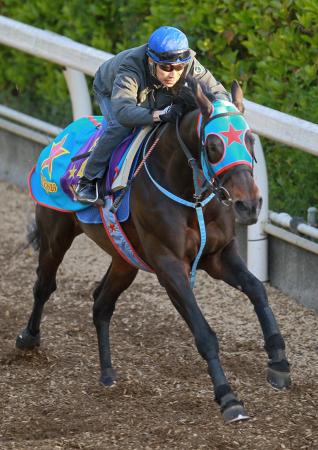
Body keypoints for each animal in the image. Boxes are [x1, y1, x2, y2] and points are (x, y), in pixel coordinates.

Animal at [16, 79, 290, 424]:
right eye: (214, 145)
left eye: (250, 139)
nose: (249, 204)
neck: (189, 193)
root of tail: (60, 137)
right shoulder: (169, 266)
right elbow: (204, 332)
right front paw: (229, 398)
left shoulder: (219, 257)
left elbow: (257, 290)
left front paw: (279, 362)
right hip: (56, 232)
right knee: (44, 285)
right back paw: (28, 338)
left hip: (125, 258)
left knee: (101, 303)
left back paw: (107, 372)